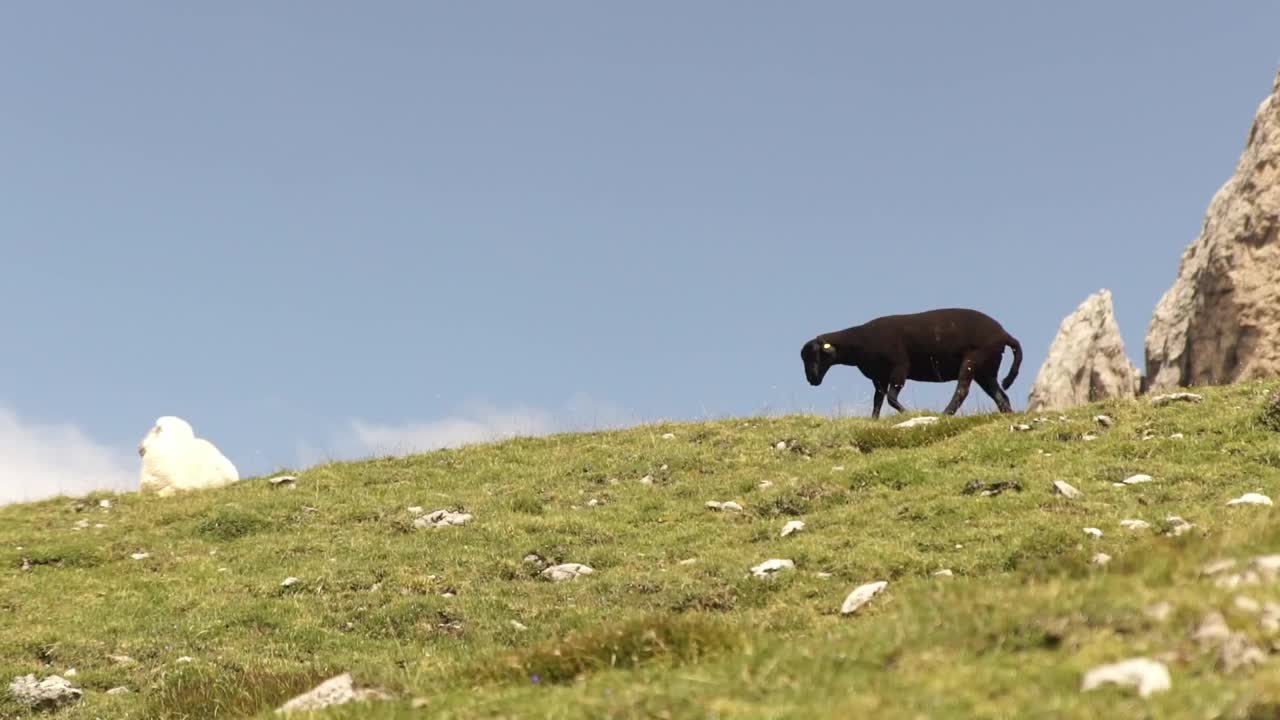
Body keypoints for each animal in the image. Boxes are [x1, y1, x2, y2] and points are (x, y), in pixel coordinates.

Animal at [793, 307, 1024, 417]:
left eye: (815, 355)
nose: (812, 379)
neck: (859, 343)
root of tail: (1005, 335)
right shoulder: (879, 377)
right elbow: (877, 402)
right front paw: (874, 421)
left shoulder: (899, 368)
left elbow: (891, 399)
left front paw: (910, 413)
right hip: (987, 369)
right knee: (1001, 397)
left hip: (973, 359)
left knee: (962, 390)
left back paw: (945, 414)